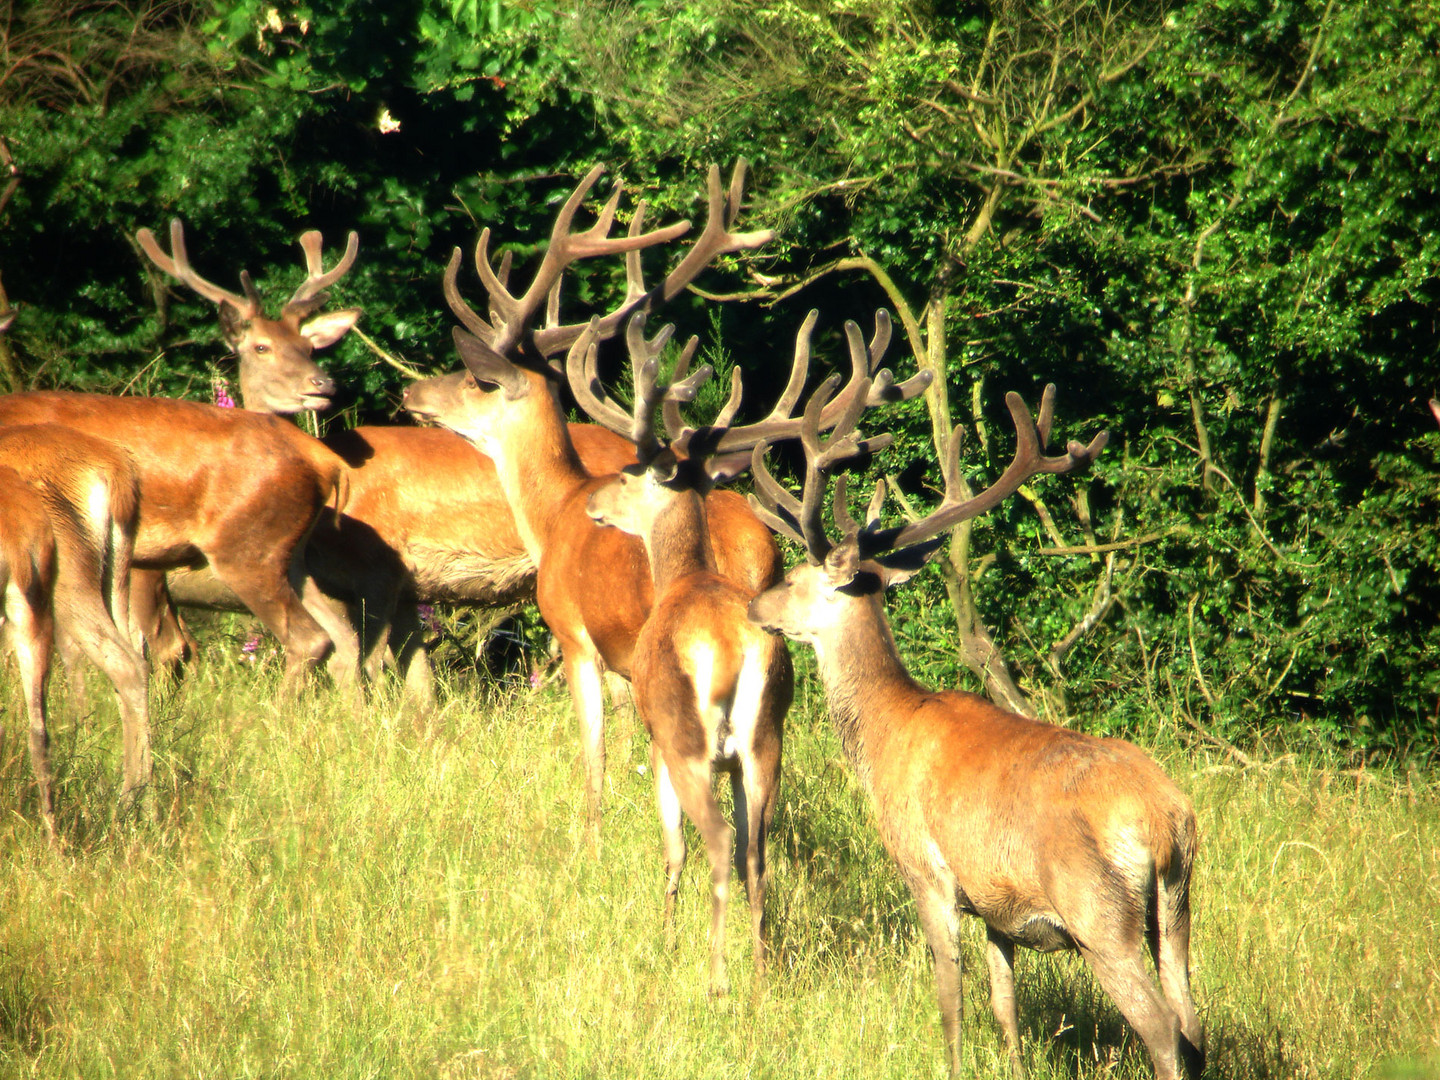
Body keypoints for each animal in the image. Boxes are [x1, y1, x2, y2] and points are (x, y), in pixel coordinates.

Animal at [743, 385, 1203, 1077]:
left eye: (794, 579)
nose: (753, 605)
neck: (883, 732)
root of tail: (1164, 819)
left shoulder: (926, 868)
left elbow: (950, 994)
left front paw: (950, 1064)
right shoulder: (996, 905)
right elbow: (1004, 1004)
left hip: (1100, 912)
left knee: (1165, 1032)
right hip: (1175, 909)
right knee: (1196, 1025)